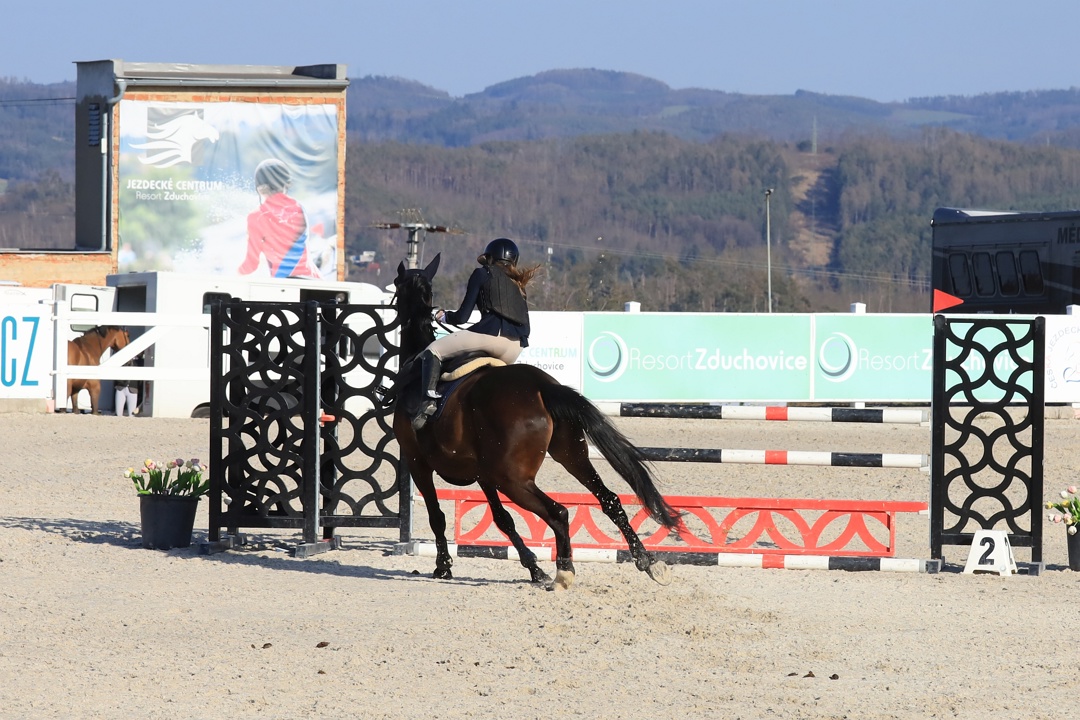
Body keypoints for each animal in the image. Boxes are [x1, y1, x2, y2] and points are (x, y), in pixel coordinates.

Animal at [391, 254, 681, 591]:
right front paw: (533, 568)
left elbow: (438, 515)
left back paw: (564, 571)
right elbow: (503, 519)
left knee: (558, 512)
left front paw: (443, 566)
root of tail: (543, 387)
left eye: (396, 285)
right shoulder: (483, 474)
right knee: (609, 500)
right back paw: (648, 562)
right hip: (569, 455)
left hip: (513, 479)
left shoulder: (418, 462)